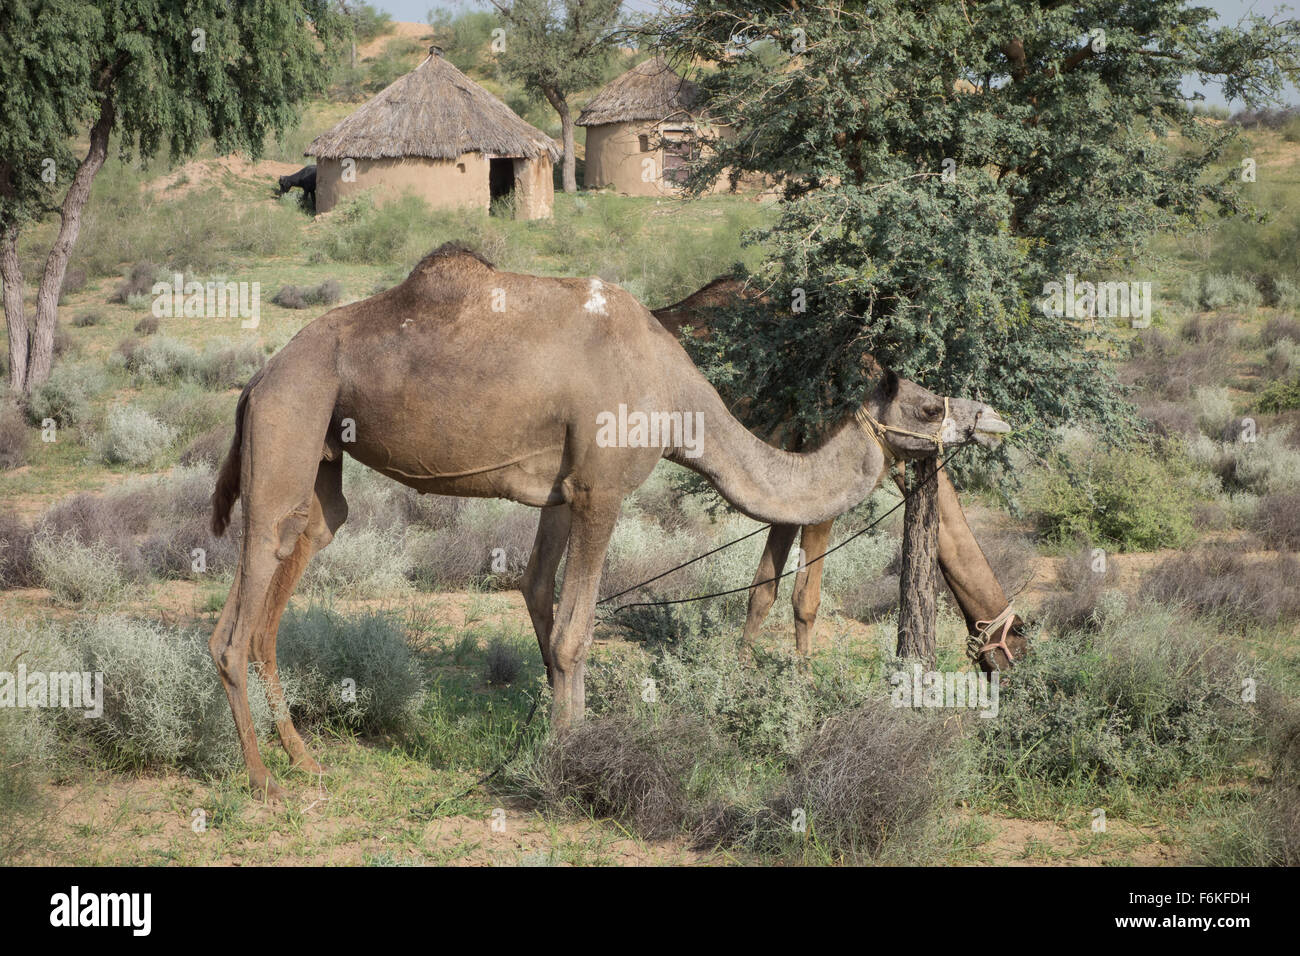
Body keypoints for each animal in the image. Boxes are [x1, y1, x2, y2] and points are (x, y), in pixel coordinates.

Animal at [655, 274, 1029, 671]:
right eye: (1019, 642)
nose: (995, 423)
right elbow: (805, 598)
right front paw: (802, 679)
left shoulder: (788, 490)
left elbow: (763, 589)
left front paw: (742, 669)